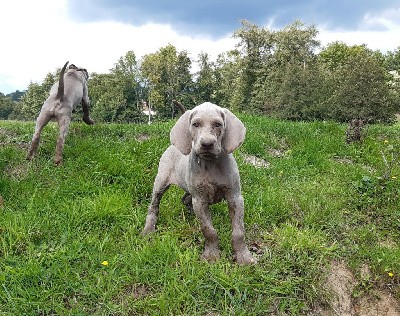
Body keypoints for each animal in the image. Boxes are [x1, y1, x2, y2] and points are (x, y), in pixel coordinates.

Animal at [141, 101, 256, 264]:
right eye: (195, 124)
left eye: (218, 124)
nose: (207, 144)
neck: (211, 163)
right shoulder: (200, 200)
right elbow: (208, 230)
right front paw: (211, 255)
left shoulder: (235, 197)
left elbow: (238, 231)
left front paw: (243, 256)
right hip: (161, 182)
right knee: (154, 205)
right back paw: (148, 229)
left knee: (185, 199)